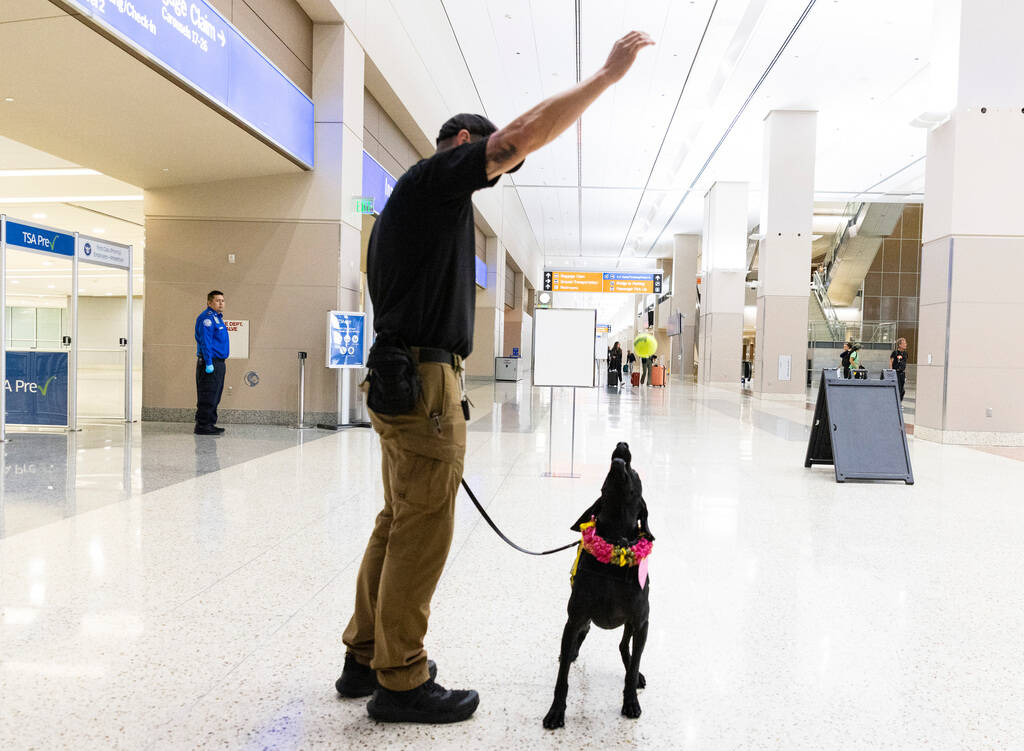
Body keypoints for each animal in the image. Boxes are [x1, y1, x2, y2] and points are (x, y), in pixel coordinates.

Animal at [544, 438, 655, 725]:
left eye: (636, 473)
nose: (622, 444)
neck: (615, 539)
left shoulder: (641, 622)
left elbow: (632, 669)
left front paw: (631, 702)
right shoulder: (574, 619)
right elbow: (562, 677)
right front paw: (556, 711)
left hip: (632, 625)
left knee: (625, 648)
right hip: (582, 620)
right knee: (581, 641)